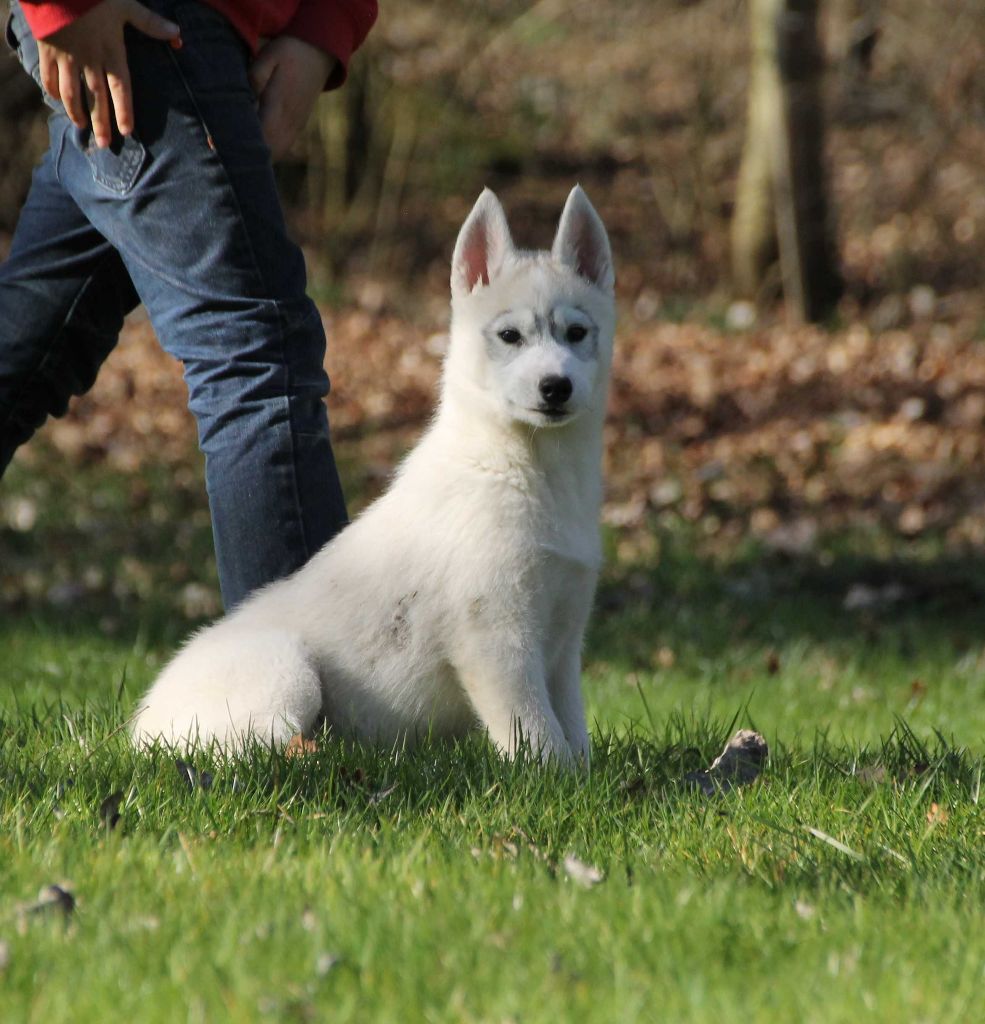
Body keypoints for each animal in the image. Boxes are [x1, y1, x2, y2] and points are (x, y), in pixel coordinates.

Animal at [130, 186, 615, 767]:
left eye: (577, 333)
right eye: (509, 336)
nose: (555, 387)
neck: (522, 466)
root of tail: (138, 729)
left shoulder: (563, 641)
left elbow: (572, 729)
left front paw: (586, 776)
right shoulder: (499, 640)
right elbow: (540, 737)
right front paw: (554, 779)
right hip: (286, 671)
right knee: (251, 745)